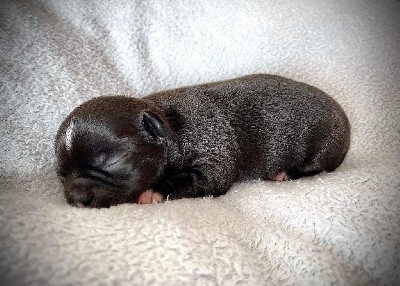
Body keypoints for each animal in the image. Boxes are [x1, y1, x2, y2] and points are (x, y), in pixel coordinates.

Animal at [54, 73, 350, 208]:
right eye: (61, 174)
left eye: (111, 162)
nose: (76, 198)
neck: (171, 126)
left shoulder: (214, 157)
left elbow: (194, 178)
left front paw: (154, 191)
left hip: (325, 142)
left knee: (316, 166)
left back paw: (285, 173)